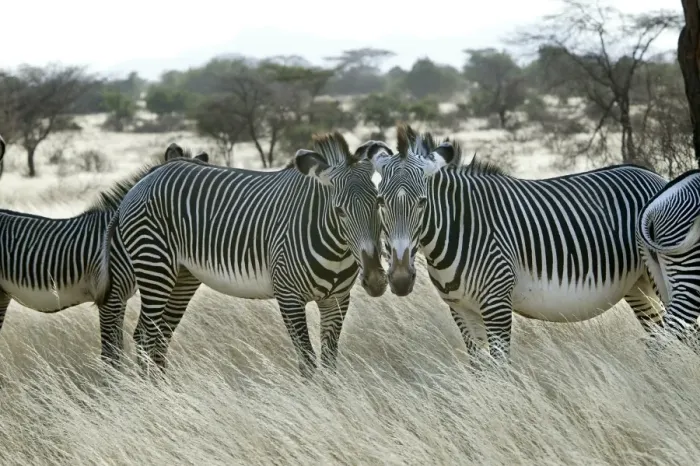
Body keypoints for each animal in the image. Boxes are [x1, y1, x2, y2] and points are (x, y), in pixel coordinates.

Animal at [98, 131, 388, 378]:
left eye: (378, 202)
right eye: (339, 211)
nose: (375, 280)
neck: (337, 249)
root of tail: (145, 179)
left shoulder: (337, 300)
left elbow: (329, 363)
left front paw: (331, 398)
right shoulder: (289, 297)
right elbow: (307, 361)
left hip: (182, 277)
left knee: (158, 337)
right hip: (154, 266)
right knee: (145, 336)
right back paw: (154, 395)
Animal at [368, 123, 668, 362]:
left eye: (422, 202)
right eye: (380, 201)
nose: (400, 280)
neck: (458, 227)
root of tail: (655, 176)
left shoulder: (496, 303)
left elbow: (501, 369)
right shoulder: (461, 309)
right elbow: (479, 370)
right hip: (637, 285)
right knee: (660, 336)